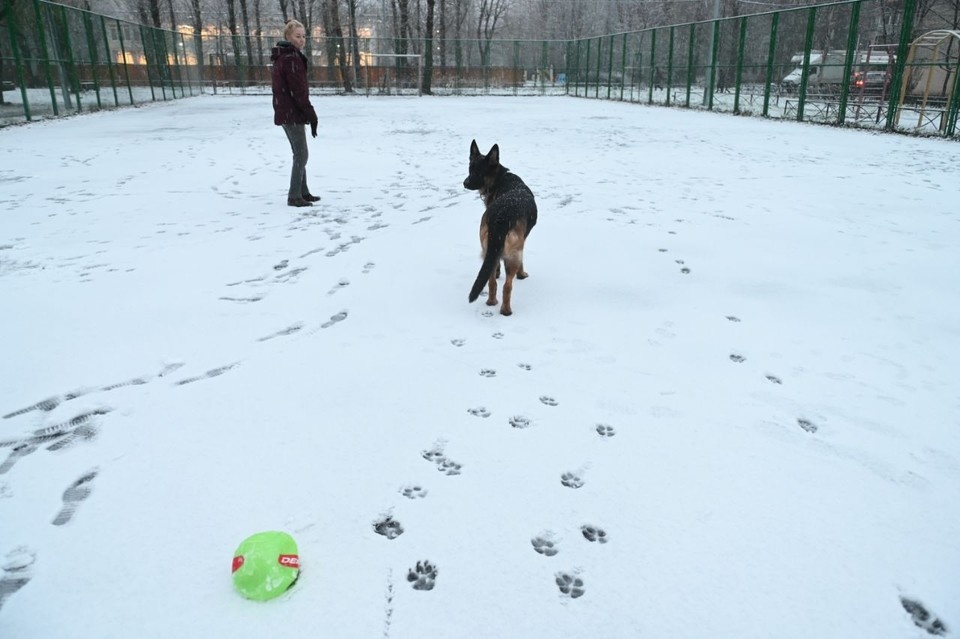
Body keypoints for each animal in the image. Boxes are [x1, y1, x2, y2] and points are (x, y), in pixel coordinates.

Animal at [462, 139, 536, 316]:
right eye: (470, 169)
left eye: (477, 171)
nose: (465, 183)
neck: (500, 178)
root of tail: (501, 217)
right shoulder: (521, 245)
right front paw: (522, 275)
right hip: (512, 254)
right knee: (507, 286)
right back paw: (506, 310)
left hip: (486, 247)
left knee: (491, 282)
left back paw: (491, 302)